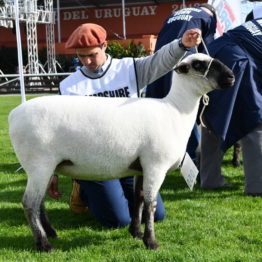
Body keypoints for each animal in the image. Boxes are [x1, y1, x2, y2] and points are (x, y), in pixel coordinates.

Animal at [7, 53, 233, 252]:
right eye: (199, 65)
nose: (231, 76)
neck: (175, 111)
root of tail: (13, 115)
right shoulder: (155, 165)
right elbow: (151, 205)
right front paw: (151, 242)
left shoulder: (142, 167)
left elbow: (139, 199)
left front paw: (136, 232)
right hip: (39, 163)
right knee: (29, 204)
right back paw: (43, 244)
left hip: (44, 167)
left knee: (39, 202)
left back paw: (51, 233)